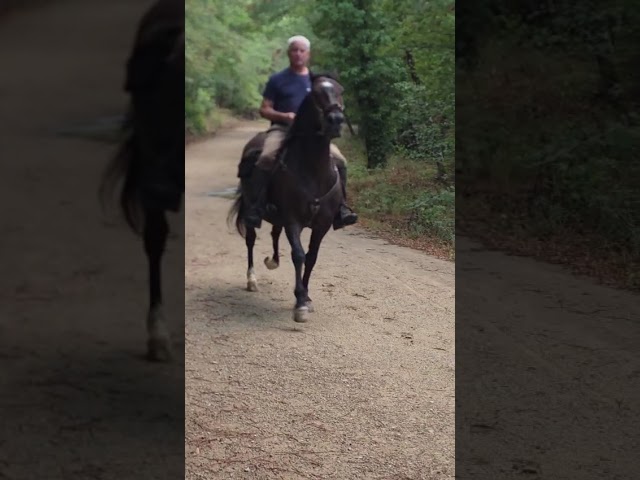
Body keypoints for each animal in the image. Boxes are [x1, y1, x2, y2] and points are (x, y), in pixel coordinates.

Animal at [228, 74, 346, 323]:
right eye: (315, 94)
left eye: (341, 91)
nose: (336, 120)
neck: (313, 170)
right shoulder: (293, 221)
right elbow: (298, 255)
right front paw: (299, 303)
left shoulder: (321, 225)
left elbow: (311, 257)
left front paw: (307, 297)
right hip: (253, 213)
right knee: (251, 240)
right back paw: (252, 279)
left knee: (274, 233)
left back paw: (273, 261)